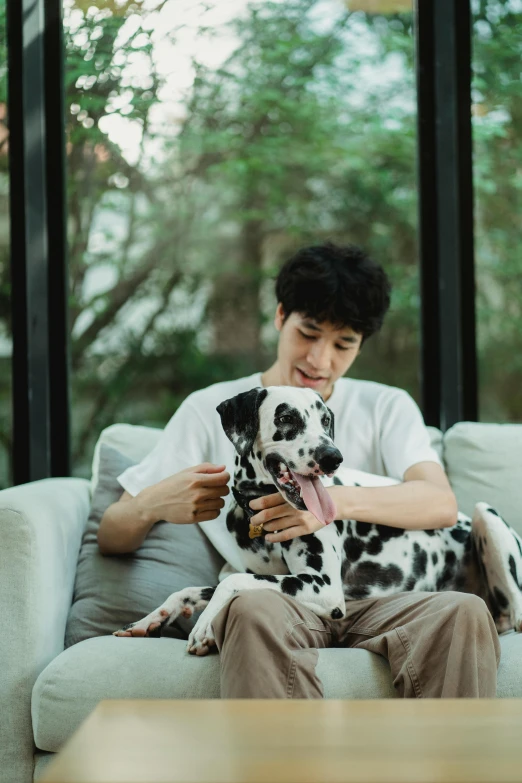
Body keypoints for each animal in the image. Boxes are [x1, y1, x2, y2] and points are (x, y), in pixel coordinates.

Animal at [112, 388, 520, 656]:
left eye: (325, 420)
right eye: (286, 418)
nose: (332, 457)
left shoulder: (323, 586)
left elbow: (233, 583)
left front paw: (203, 626)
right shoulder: (264, 575)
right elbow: (198, 588)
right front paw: (151, 619)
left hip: (486, 515)